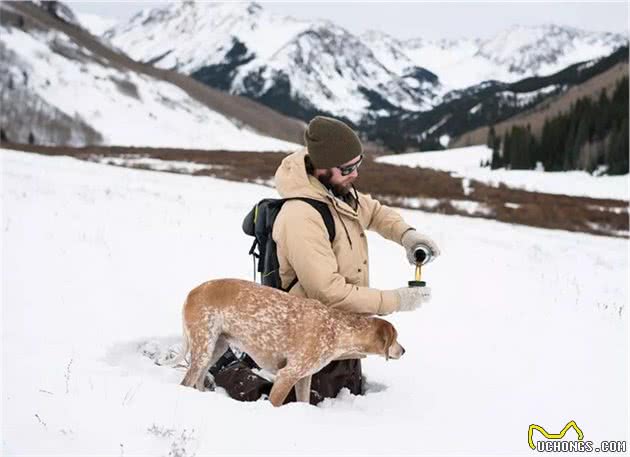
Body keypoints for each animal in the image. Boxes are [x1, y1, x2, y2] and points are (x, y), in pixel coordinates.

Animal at [175, 276, 408, 404]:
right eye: (396, 339)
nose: (404, 350)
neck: (338, 329)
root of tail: (192, 292)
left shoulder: (303, 377)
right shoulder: (286, 375)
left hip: (217, 348)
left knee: (198, 380)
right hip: (204, 348)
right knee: (186, 382)